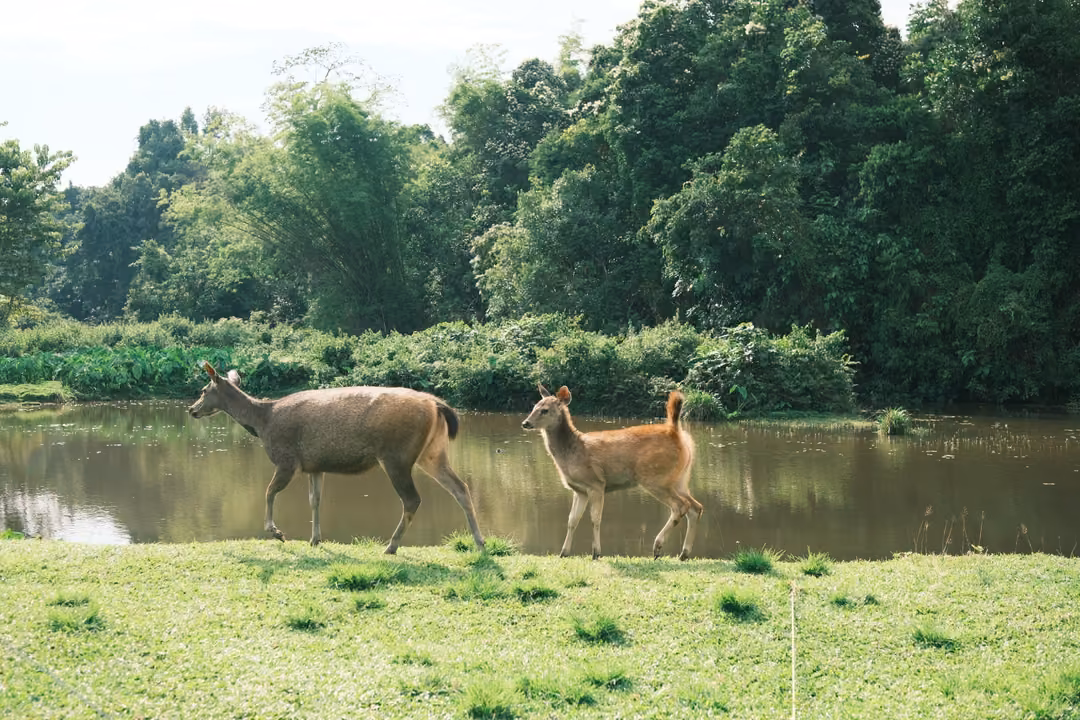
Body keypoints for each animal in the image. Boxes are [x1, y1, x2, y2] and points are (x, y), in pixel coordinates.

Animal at [187, 362, 485, 554]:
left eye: (203, 390)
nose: (191, 409)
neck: (263, 423)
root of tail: (437, 405)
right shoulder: (315, 465)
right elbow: (314, 500)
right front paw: (315, 539)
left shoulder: (287, 459)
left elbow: (269, 491)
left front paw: (277, 532)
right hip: (432, 453)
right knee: (461, 487)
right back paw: (480, 542)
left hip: (396, 455)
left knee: (412, 499)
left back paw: (391, 546)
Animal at [521, 385, 702, 560]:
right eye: (534, 406)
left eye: (545, 410)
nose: (525, 423)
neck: (572, 452)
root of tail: (676, 432)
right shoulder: (579, 490)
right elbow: (572, 520)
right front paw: (564, 553)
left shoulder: (596, 483)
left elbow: (595, 519)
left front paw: (596, 553)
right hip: (679, 479)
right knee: (696, 507)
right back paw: (684, 554)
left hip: (656, 478)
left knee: (680, 506)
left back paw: (657, 548)